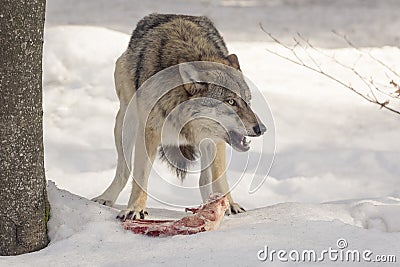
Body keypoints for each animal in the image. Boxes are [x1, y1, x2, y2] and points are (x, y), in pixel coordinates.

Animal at [92, 13, 268, 221]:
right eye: (231, 101)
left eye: (248, 101)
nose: (261, 129)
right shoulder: (148, 133)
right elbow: (141, 176)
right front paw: (135, 209)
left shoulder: (216, 140)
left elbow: (219, 178)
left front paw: (230, 206)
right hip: (125, 123)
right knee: (124, 170)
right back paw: (106, 198)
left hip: (208, 143)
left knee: (204, 180)